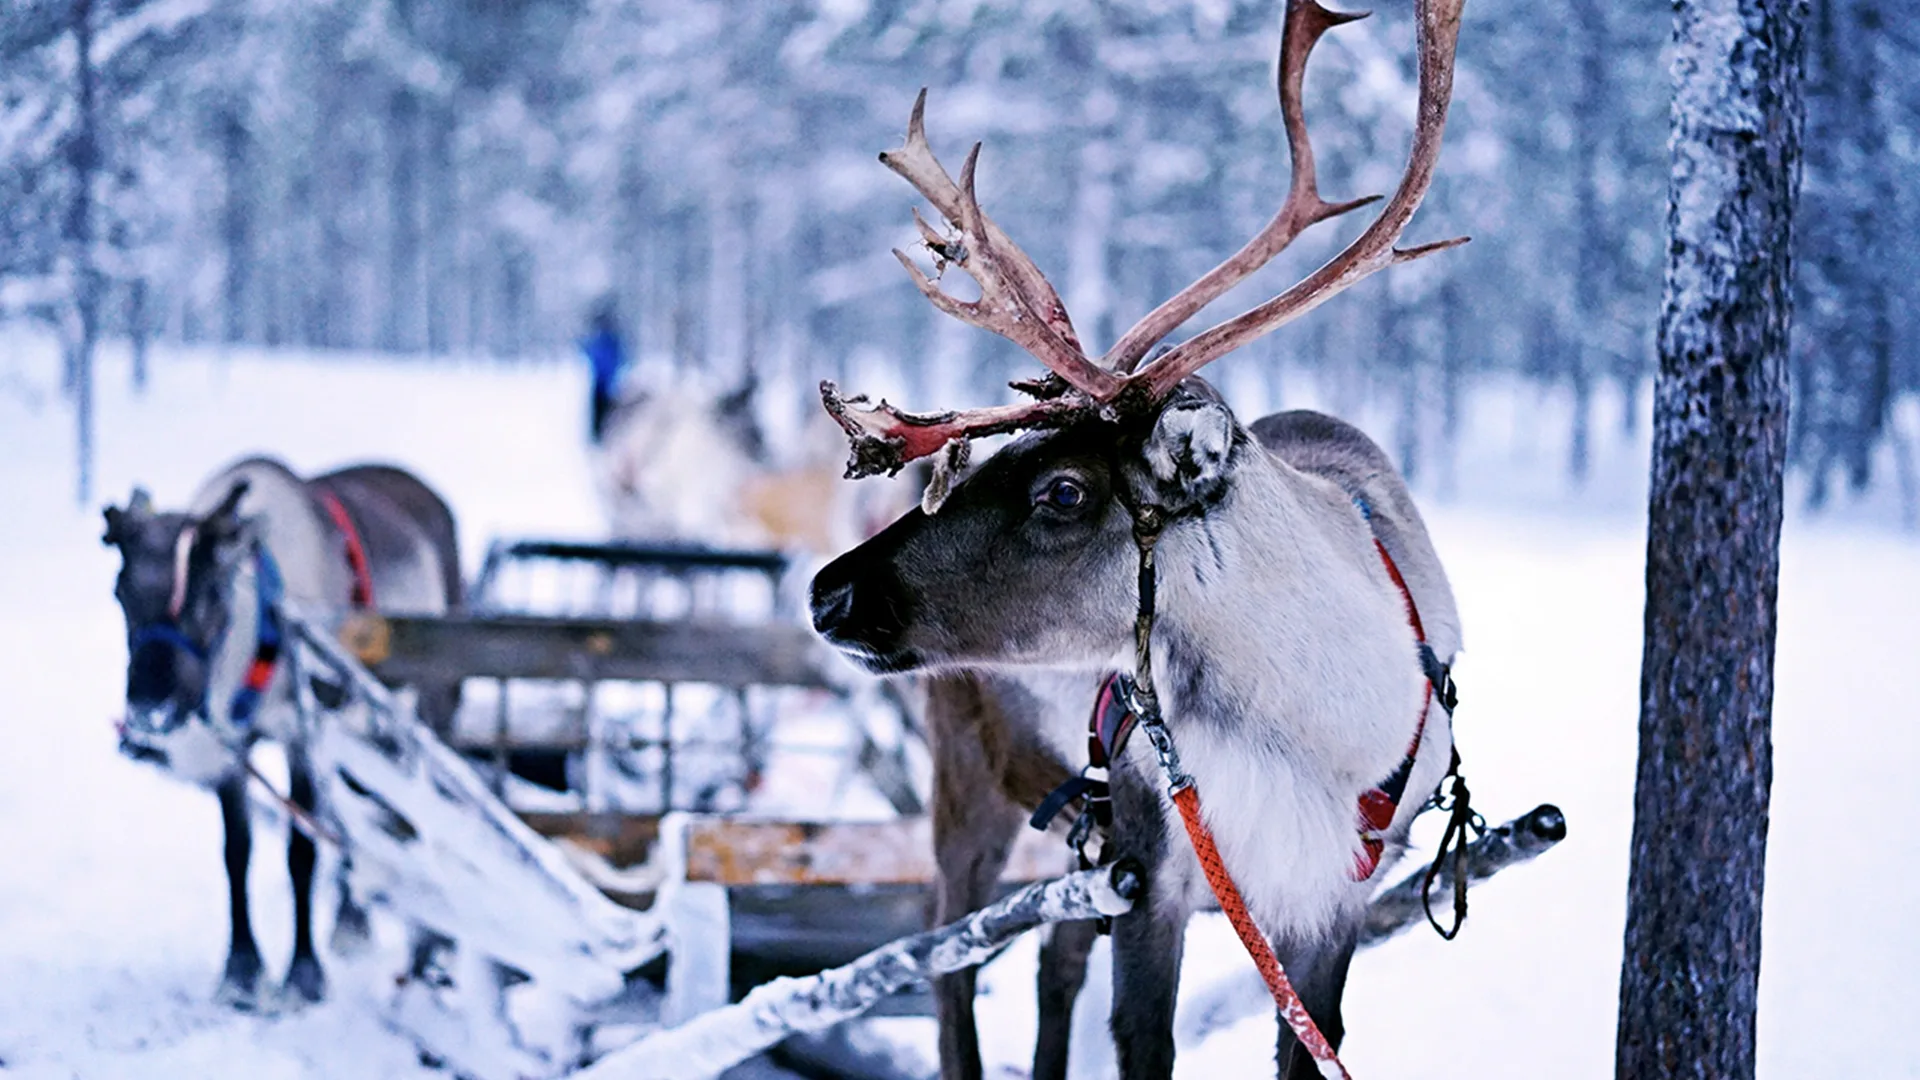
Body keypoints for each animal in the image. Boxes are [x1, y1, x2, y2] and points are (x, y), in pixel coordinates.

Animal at [807, 0, 1468, 1076]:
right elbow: (1138, 1036)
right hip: (969, 789)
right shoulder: (1151, 870)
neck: (1311, 734)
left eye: (1064, 491)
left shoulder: (1329, 900)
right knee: (948, 954)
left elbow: (1309, 1042)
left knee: (1047, 964)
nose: (828, 591)